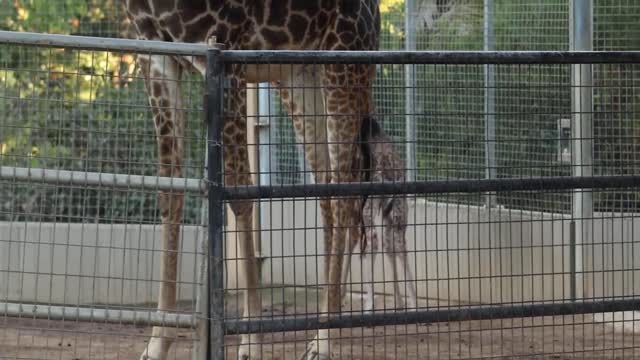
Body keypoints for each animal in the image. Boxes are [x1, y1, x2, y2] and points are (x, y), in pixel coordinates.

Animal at [125, 1, 380, 358]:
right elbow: (169, 190)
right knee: (329, 189)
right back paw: (328, 320)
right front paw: (156, 345)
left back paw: (324, 340)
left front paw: (251, 344)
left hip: (344, 63)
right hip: (298, 78)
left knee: (345, 189)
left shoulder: (228, 52)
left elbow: (240, 193)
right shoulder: (155, 52)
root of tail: (376, 17)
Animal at [342, 116, 418, 312]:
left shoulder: (355, 206)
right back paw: (413, 303)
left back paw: (370, 304)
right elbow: (389, 248)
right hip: (399, 210)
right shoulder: (386, 213)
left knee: (373, 241)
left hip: (369, 208)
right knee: (397, 244)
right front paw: (399, 301)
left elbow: (350, 241)